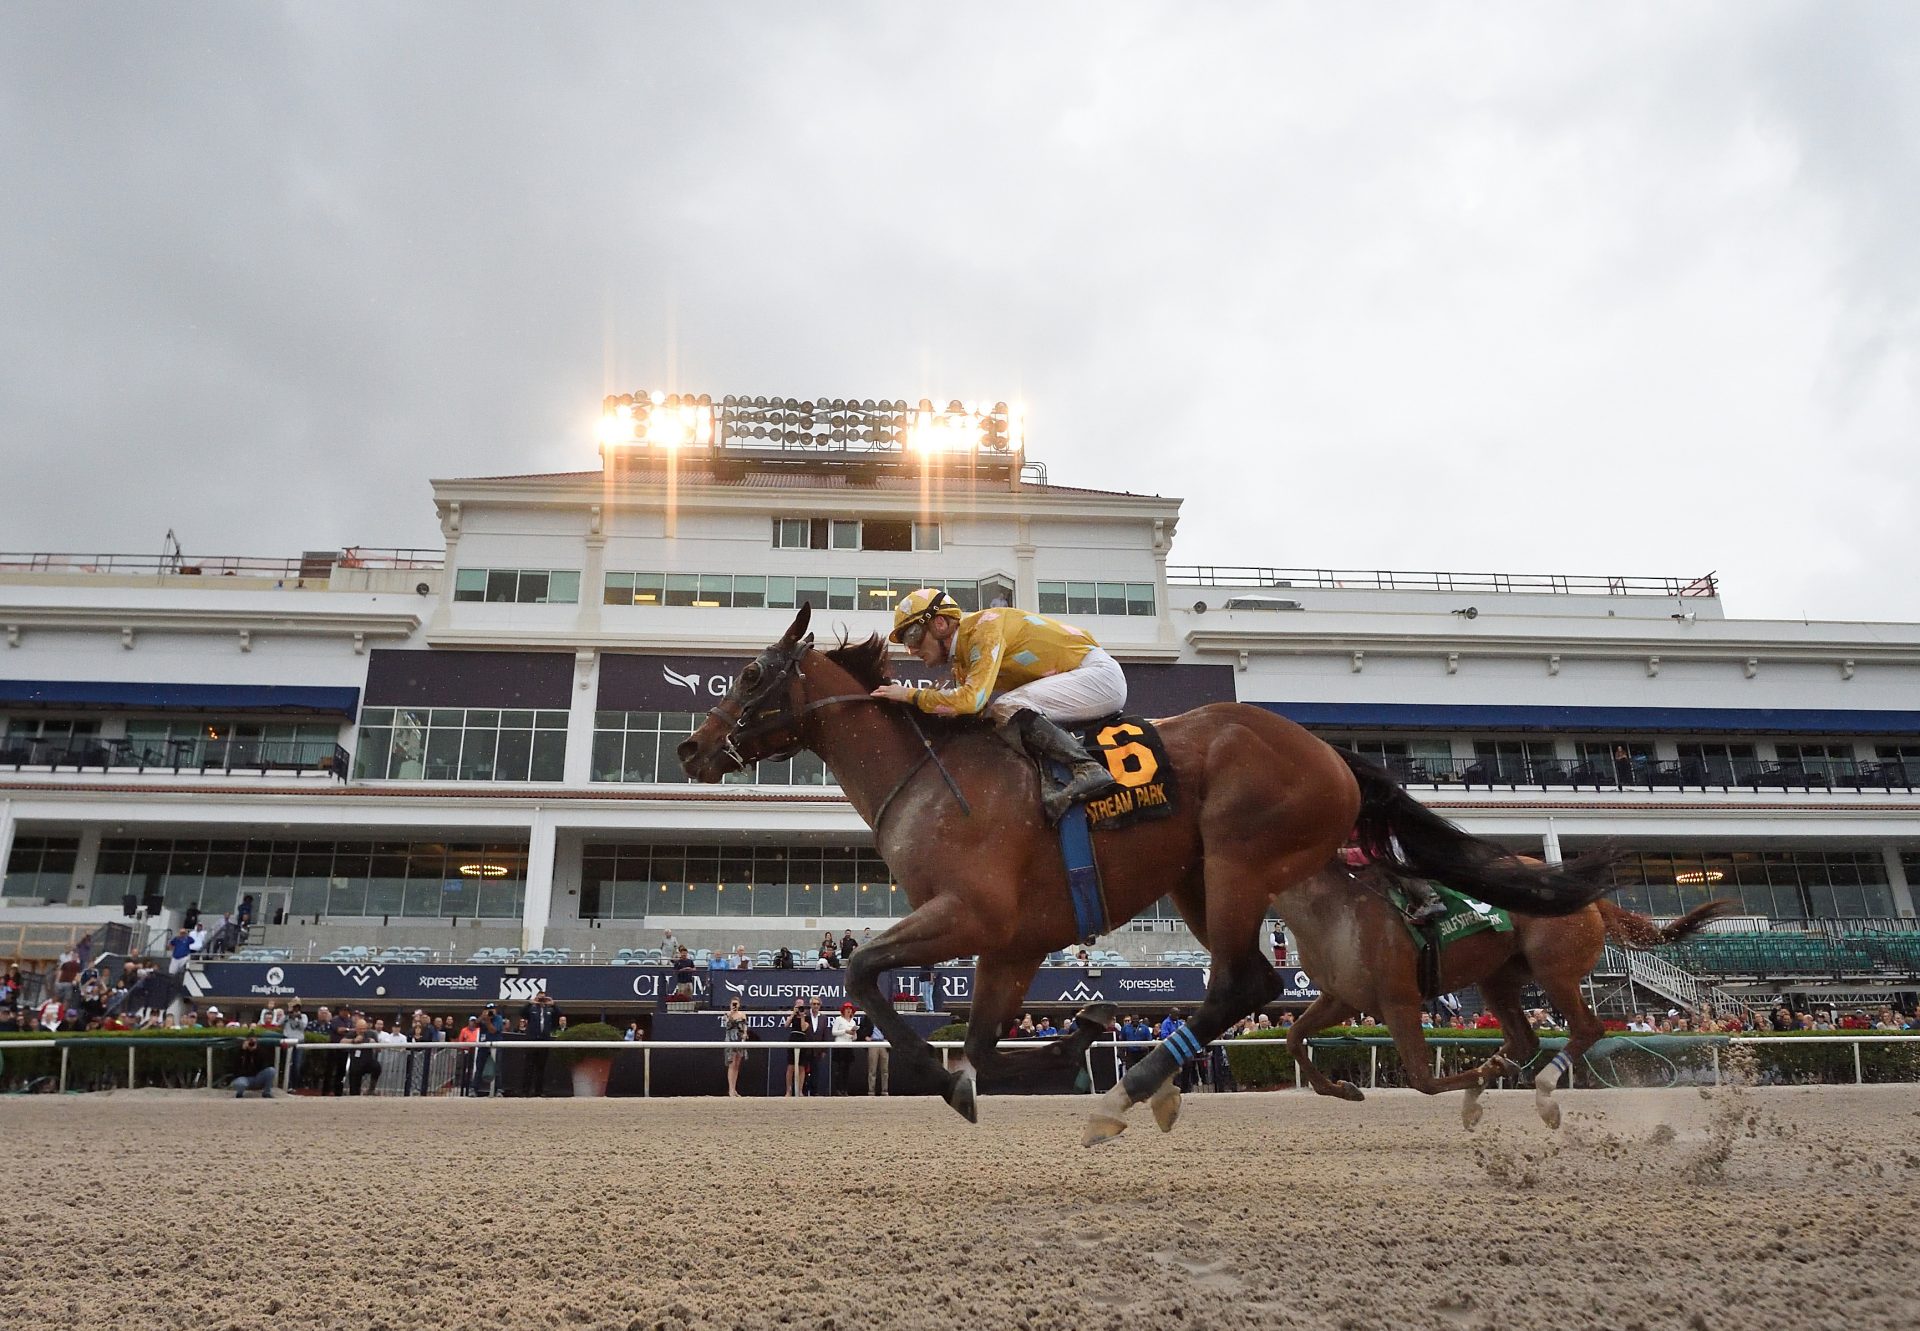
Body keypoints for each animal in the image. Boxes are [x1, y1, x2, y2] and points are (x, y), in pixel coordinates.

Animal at [675, 610, 1620, 1144]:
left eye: (752, 673)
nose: (688, 747)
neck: (932, 776)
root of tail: (1327, 749)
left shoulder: (969, 913)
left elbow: (864, 971)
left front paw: (959, 1074)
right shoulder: (1013, 944)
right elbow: (982, 1041)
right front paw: (1057, 1040)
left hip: (1239, 854)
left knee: (1245, 980)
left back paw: (1129, 1090)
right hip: (1200, 876)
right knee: (1256, 979)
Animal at [1274, 860, 1743, 1129]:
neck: (1334, 909)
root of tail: (1591, 898)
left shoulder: (1399, 999)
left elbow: (1424, 1080)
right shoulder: (1343, 998)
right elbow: (1294, 1037)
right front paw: (1342, 1088)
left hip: (1553, 969)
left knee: (1586, 1028)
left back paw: (1542, 1091)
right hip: (1498, 977)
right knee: (1525, 1038)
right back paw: (1488, 1084)